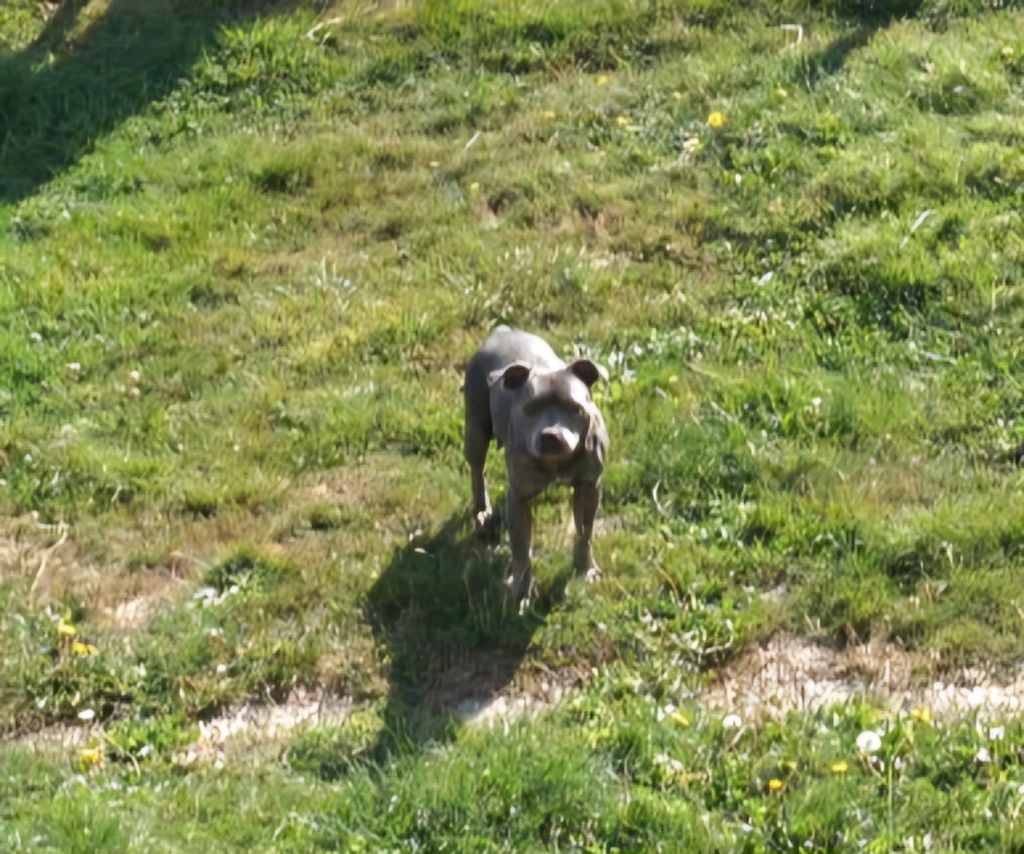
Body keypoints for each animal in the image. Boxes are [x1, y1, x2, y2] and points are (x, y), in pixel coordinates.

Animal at [464, 326, 609, 603]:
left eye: (575, 407)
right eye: (530, 408)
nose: (551, 435)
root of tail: (502, 331)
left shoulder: (588, 487)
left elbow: (584, 532)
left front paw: (584, 570)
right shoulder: (519, 498)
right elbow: (522, 550)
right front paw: (521, 590)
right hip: (476, 428)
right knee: (477, 469)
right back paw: (482, 510)